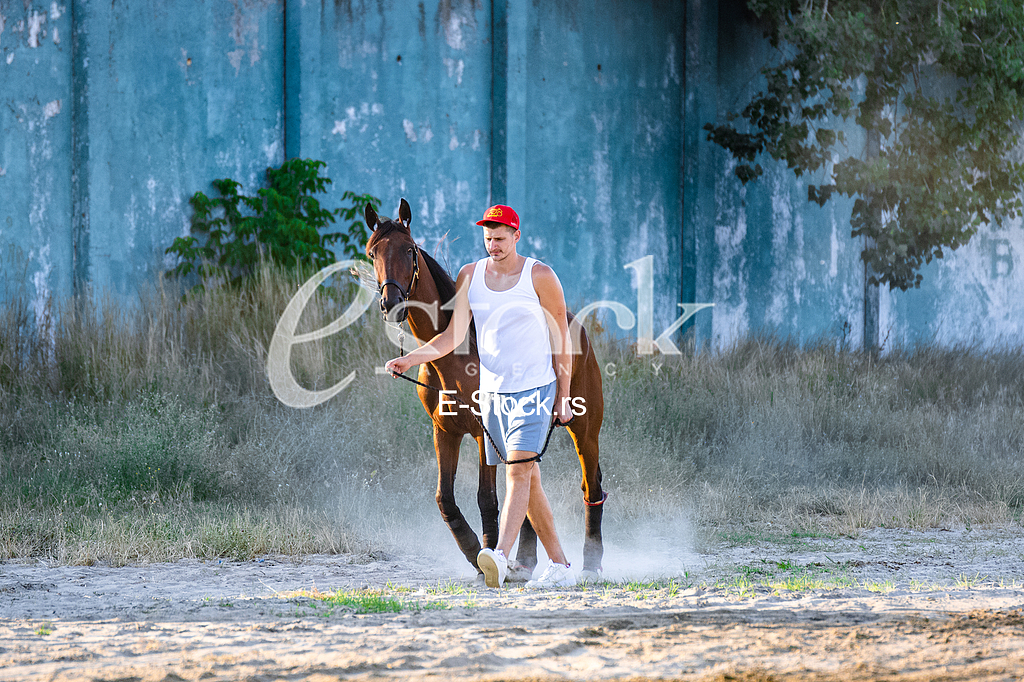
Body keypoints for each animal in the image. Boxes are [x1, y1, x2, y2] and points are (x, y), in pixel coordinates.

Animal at [366, 197, 606, 577]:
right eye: (372, 252)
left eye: (408, 249)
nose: (392, 304)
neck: (453, 361)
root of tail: (577, 326)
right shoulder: (444, 432)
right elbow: (445, 499)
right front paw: (475, 554)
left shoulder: (483, 434)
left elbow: (486, 498)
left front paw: (487, 552)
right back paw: (525, 561)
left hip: (584, 429)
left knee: (591, 486)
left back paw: (591, 564)